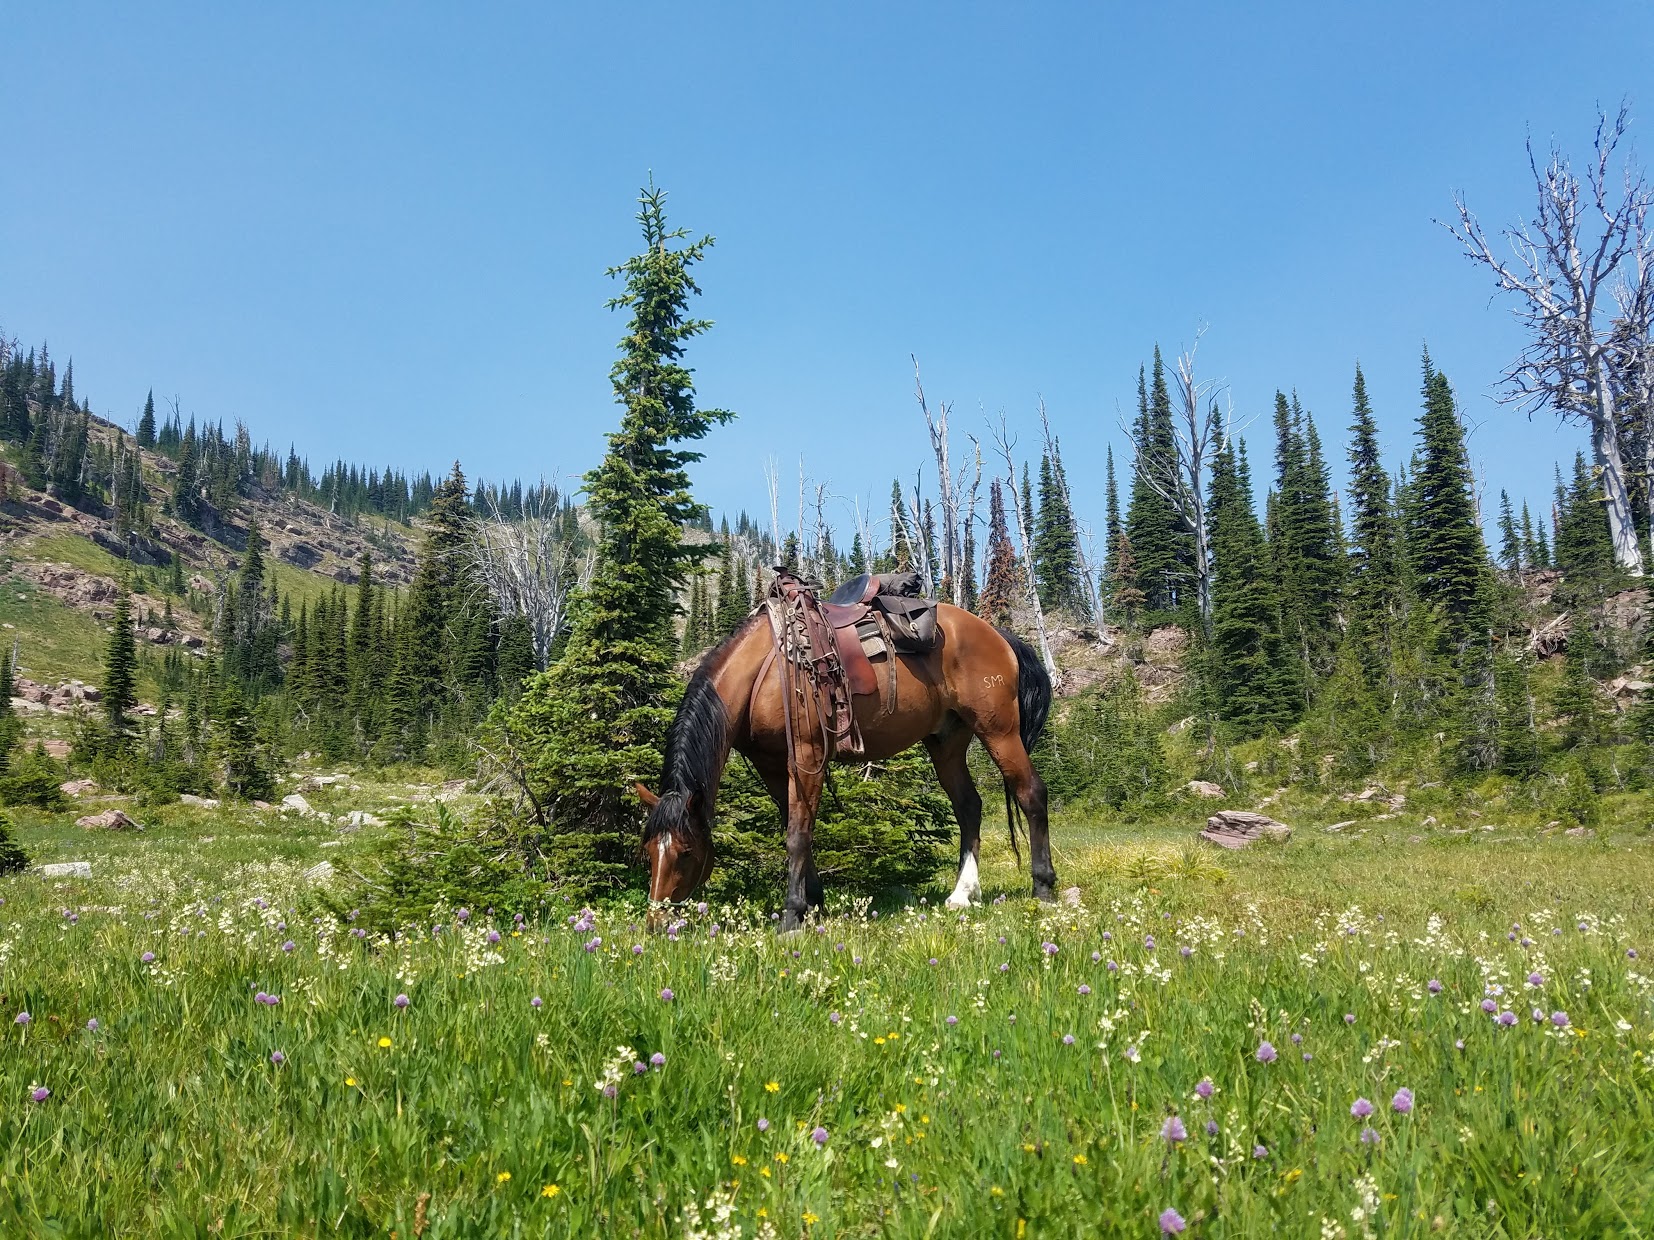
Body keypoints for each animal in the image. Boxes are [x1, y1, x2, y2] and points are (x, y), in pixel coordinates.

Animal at [638, 601, 1051, 932]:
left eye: (686, 852)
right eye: (649, 851)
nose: (656, 922)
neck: (762, 674)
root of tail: (997, 634)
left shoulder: (807, 756)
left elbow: (798, 834)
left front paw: (792, 914)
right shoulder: (770, 765)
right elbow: (795, 828)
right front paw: (812, 903)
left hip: (999, 731)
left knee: (1031, 792)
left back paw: (1043, 887)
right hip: (947, 741)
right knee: (968, 806)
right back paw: (963, 893)